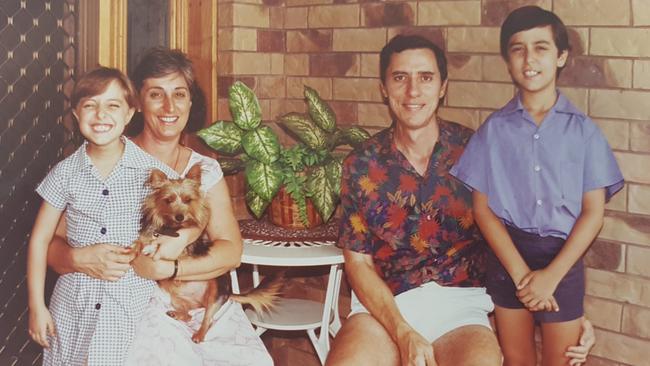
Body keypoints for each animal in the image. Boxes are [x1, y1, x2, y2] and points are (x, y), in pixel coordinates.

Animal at [134, 165, 280, 344]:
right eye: (168, 200)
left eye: (188, 200)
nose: (180, 217)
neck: (170, 228)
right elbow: (139, 242)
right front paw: (134, 250)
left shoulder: (185, 249)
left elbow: (166, 249)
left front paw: (152, 249)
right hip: (177, 299)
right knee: (189, 315)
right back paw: (177, 314)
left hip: (215, 293)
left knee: (207, 320)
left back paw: (199, 335)